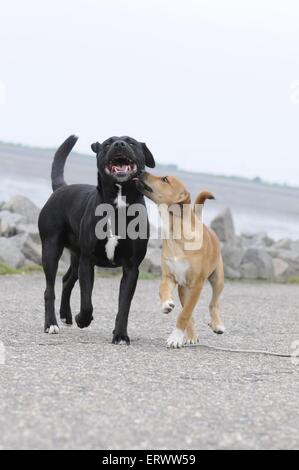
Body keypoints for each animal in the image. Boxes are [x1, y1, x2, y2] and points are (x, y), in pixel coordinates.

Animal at [38, 134, 156, 344]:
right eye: (108, 143)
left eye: (131, 142)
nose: (119, 144)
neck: (118, 206)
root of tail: (61, 188)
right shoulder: (88, 261)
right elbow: (87, 302)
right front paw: (82, 319)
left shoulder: (131, 267)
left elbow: (124, 305)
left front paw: (120, 335)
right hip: (51, 249)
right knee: (49, 289)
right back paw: (51, 324)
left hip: (75, 255)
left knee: (67, 280)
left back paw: (65, 315)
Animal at [138, 173, 225, 348]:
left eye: (165, 179)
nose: (142, 171)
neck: (176, 232)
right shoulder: (170, 276)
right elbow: (163, 289)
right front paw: (166, 303)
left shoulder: (197, 285)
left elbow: (185, 314)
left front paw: (175, 337)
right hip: (183, 288)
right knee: (190, 311)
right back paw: (191, 335)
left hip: (218, 278)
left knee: (213, 303)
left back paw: (217, 324)